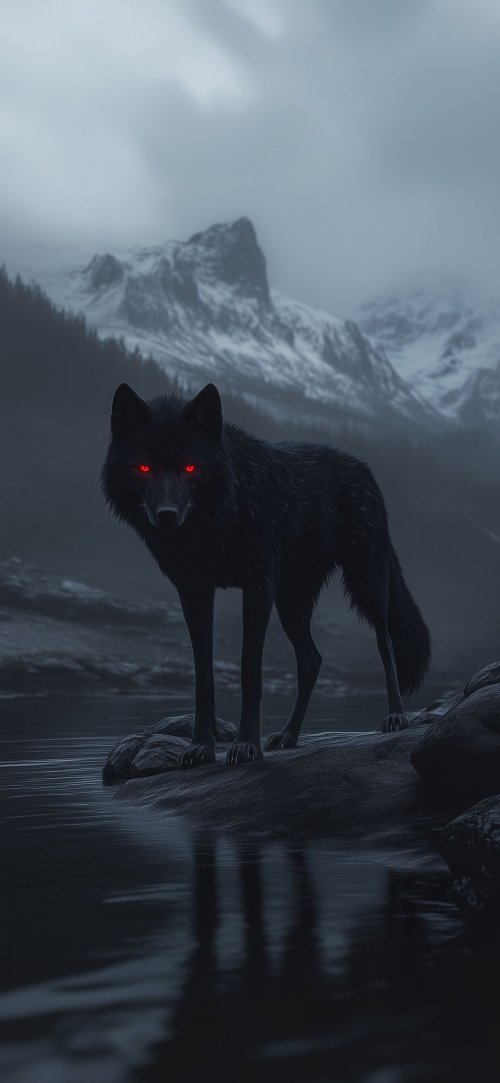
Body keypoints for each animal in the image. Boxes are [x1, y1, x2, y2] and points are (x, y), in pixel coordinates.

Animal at [101, 382, 431, 767]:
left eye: (190, 467)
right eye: (143, 467)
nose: (167, 515)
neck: (217, 520)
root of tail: (362, 466)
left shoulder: (257, 585)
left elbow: (249, 671)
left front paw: (246, 745)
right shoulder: (194, 592)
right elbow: (203, 678)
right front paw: (201, 747)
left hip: (366, 581)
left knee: (384, 641)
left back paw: (395, 716)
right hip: (291, 602)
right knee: (312, 661)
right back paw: (288, 736)